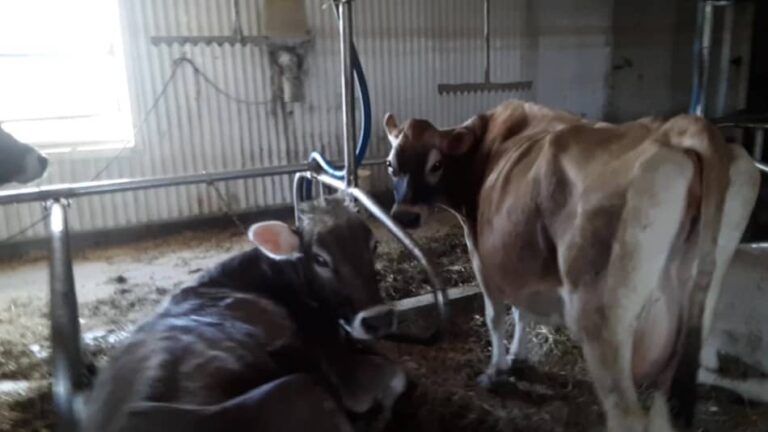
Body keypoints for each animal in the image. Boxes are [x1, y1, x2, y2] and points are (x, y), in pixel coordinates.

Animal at [82, 197, 408, 432]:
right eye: (320, 259)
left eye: (374, 245)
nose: (378, 319)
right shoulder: (343, 372)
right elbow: (397, 374)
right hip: (299, 388)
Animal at [384, 100, 760, 432]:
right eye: (391, 165)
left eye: (436, 165)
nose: (405, 215)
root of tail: (679, 127)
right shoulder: (519, 257)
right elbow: (522, 310)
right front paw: (518, 358)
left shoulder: (482, 256)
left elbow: (495, 317)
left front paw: (496, 370)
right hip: (693, 312)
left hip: (600, 314)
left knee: (627, 416)